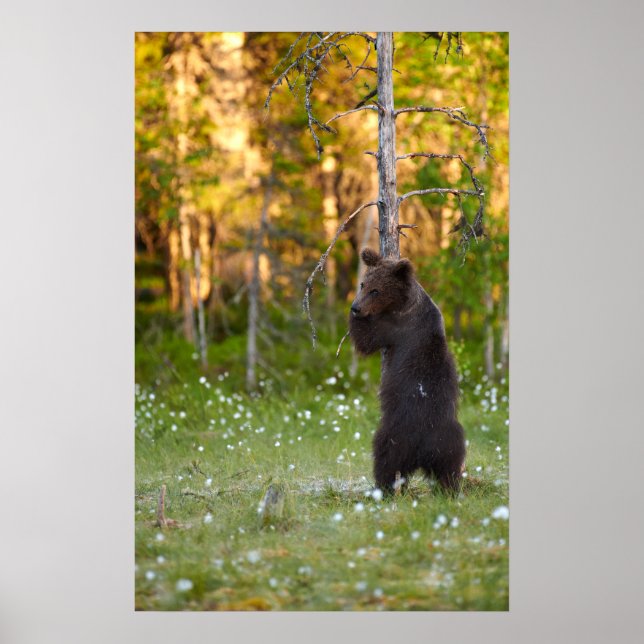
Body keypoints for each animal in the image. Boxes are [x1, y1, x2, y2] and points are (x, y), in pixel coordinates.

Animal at [348, 248, 466, 495]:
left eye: (376, 290)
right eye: (363, 284)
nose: (356, 307)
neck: (404, 303)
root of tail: (423, 451)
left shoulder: (395, 327)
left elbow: (367, 340)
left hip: (396, 434)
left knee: (385, 458)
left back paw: (382, 489)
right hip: (450, 437)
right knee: (450, 466)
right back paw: (450, 489)